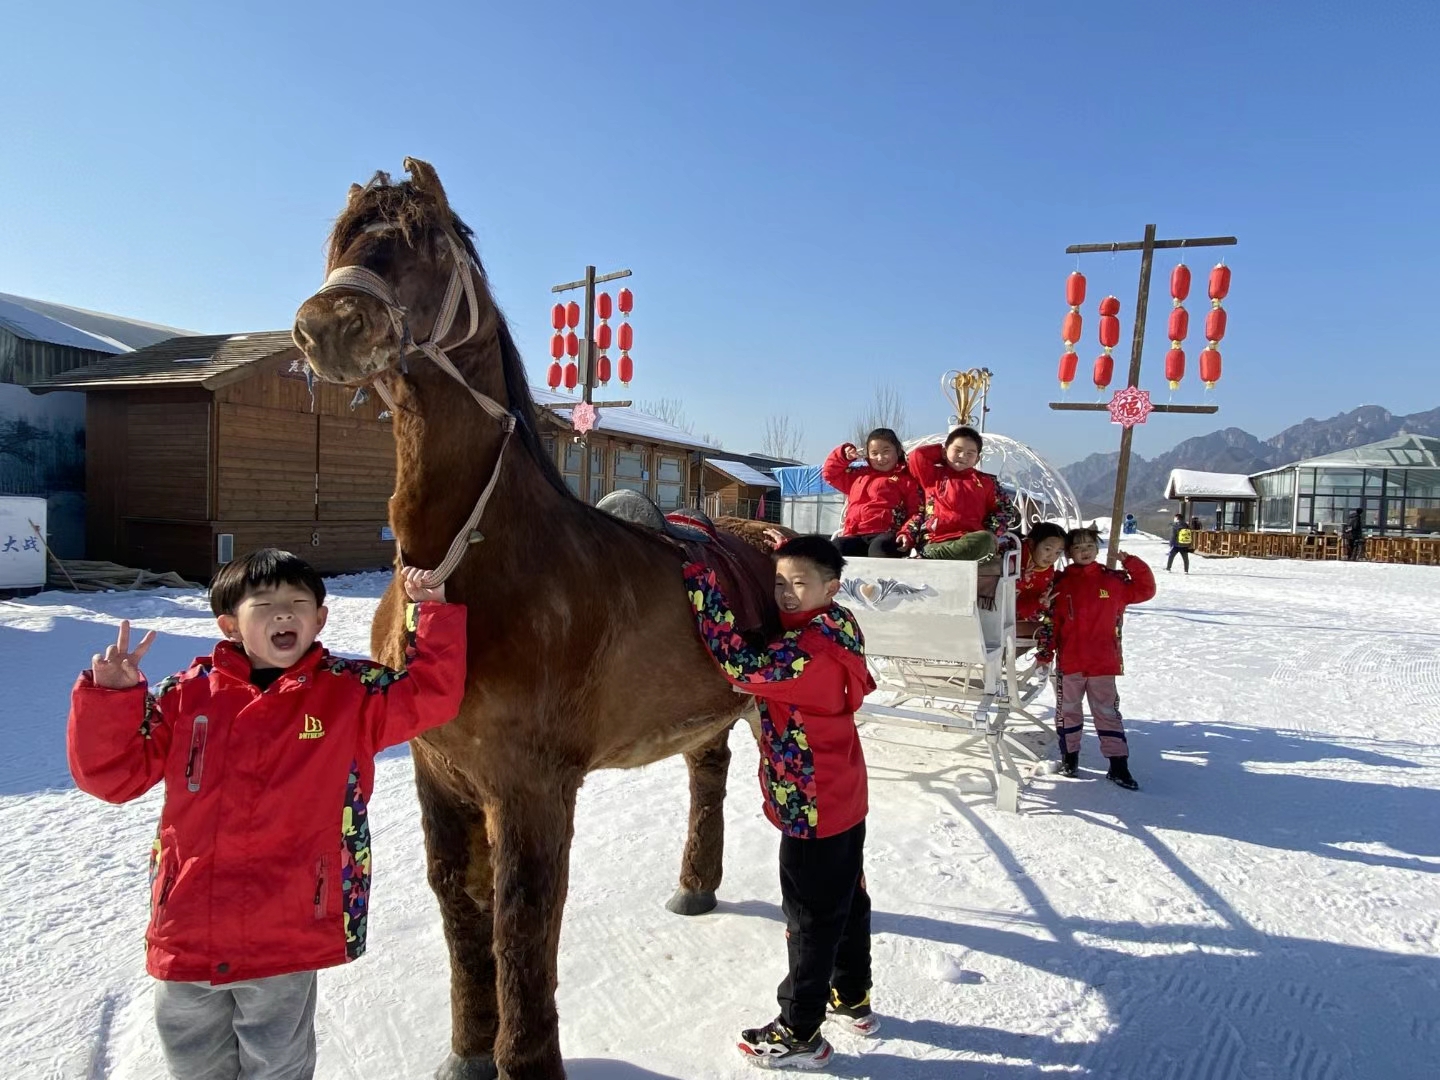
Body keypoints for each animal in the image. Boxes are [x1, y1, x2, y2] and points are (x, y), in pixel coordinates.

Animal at [286, 160, 771, 1080]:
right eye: (343, 239)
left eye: (430, 242)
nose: (327, 325)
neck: (467, 570)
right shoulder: (439, 776)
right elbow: (461, 907)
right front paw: (468, 1050)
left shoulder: (533, 788)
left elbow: (522, 918)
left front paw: (528, 1057)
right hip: (713, 718)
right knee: (708, 777)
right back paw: (695, 885)